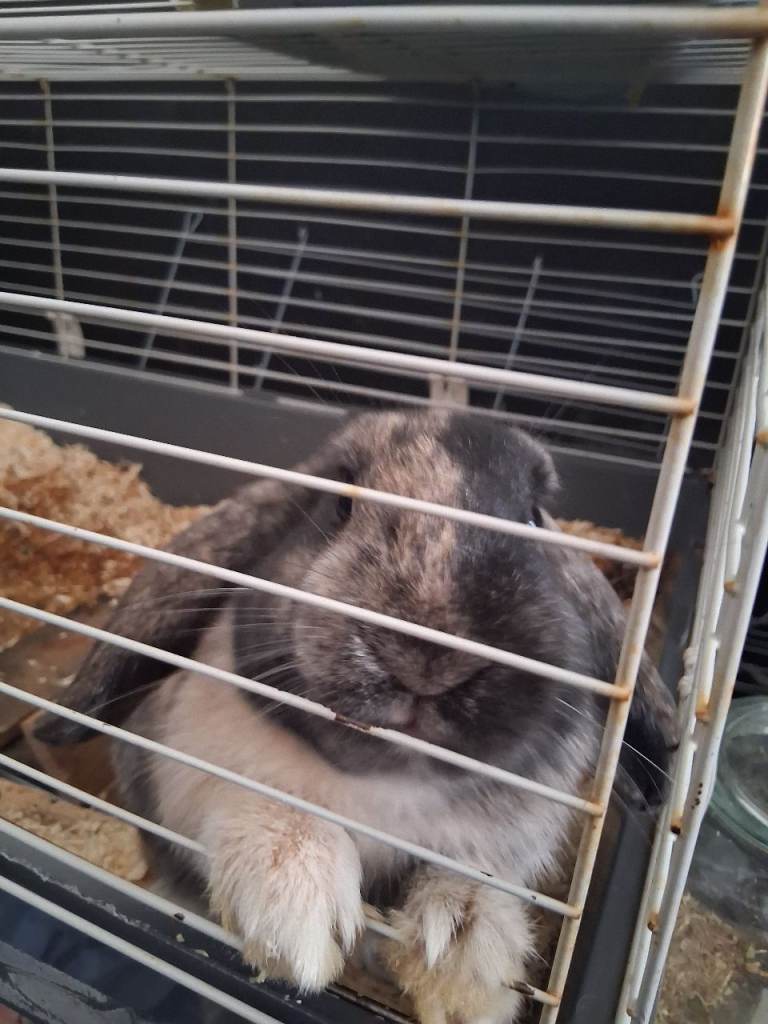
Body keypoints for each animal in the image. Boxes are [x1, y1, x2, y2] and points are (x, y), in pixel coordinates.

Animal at [36, 409, 676, 1024]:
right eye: (340, 501)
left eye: (535, 518)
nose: (429, 652)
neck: (386, 780)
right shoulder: (188, 774)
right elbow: (265, 806)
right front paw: (296, 910)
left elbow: (472, 878)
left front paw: (465, 960)